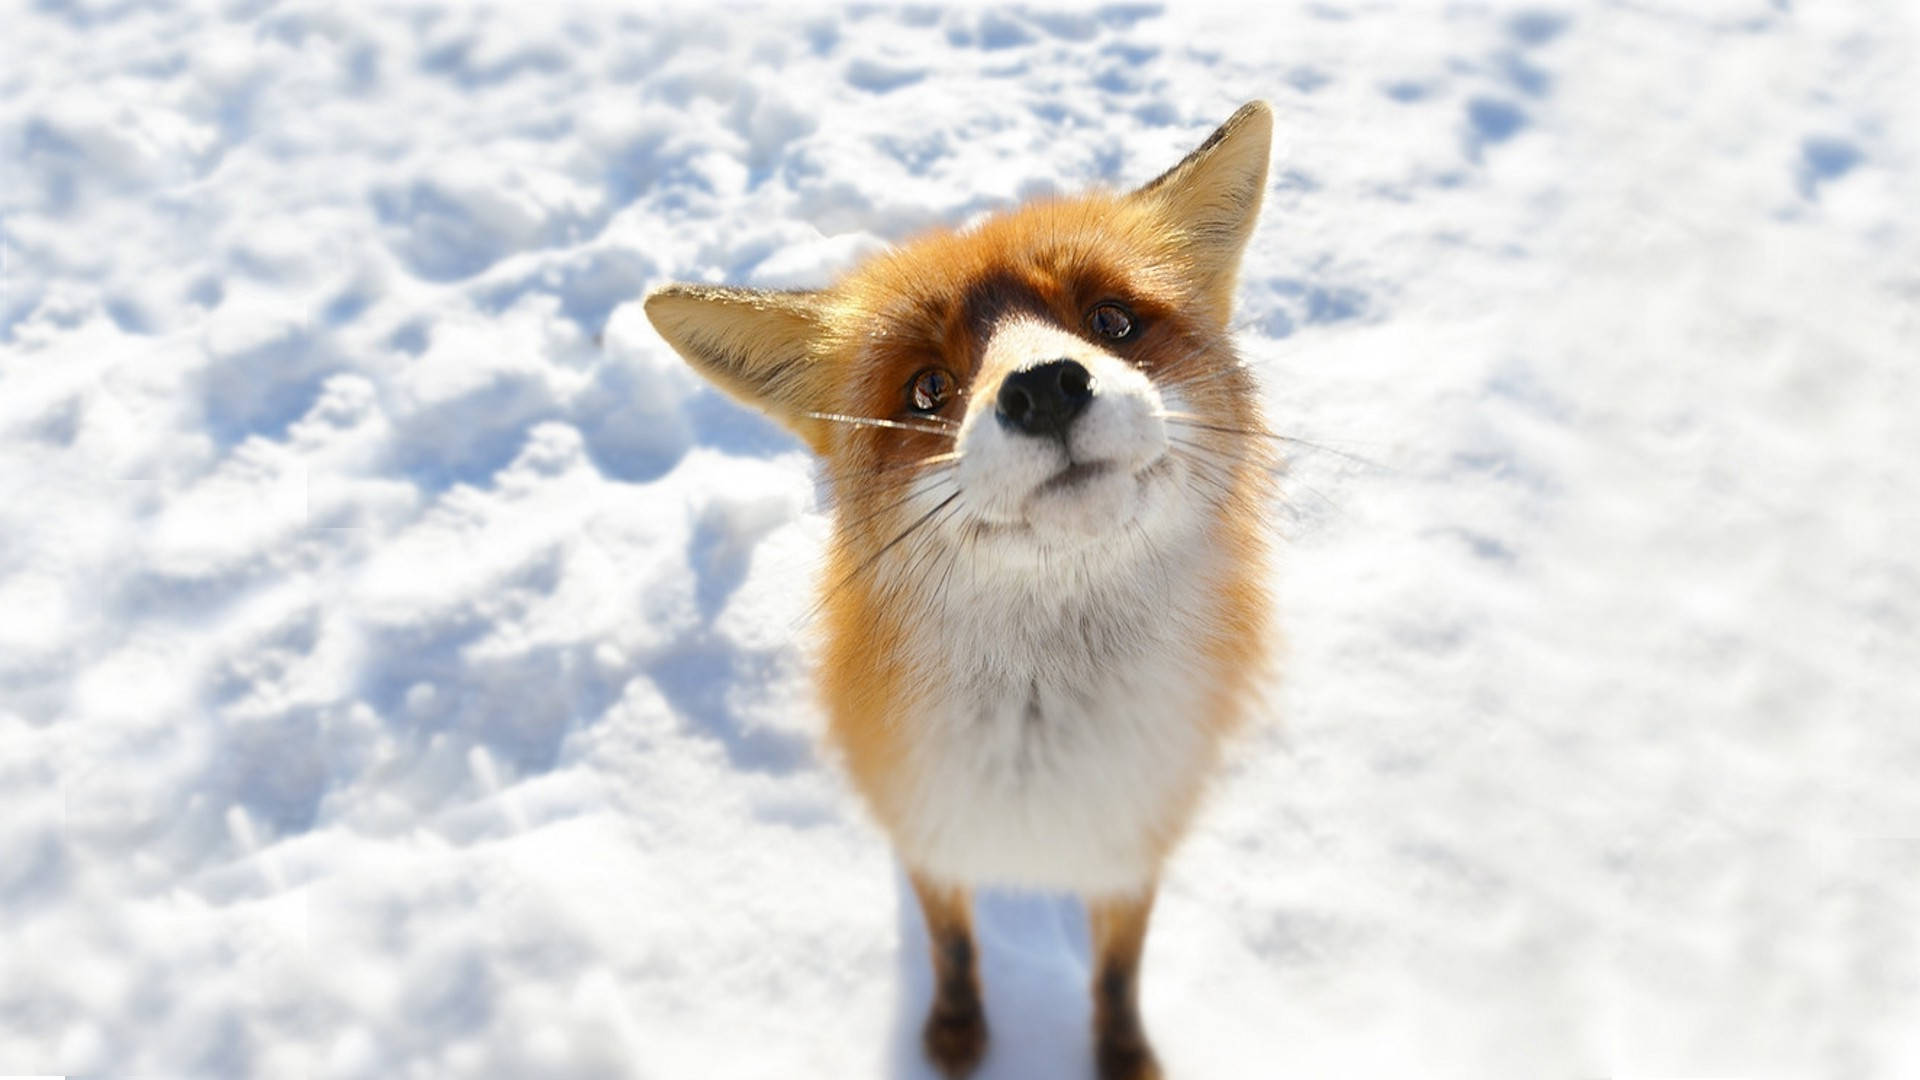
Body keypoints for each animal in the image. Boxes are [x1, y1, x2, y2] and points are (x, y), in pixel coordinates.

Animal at [645, 102, 1274, 1076]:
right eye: (927, 388)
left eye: (1112, 321)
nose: (1046, 388)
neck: (1043, 752)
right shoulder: (927, 830)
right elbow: (951, 944)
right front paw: (954, 1034)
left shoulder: (1136, 843)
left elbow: (1117, 973)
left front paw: (1122, 1055)